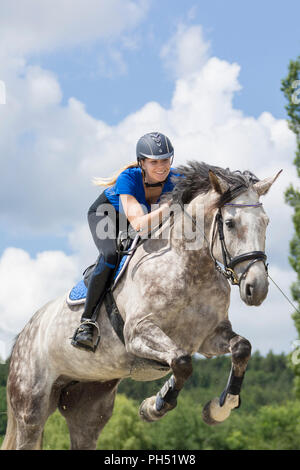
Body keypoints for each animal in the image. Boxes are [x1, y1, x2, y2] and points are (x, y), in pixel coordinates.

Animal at [0, 162, 282, 452]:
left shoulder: (208, 338)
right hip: (31, 405)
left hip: (88, 404)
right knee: (30, 428)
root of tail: (24, 333)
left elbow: (241, 348)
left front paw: (219, 409)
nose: (257, 288)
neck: (191, 269)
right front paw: (154, 406)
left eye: (266, 223)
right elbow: (181, 362)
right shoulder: (138, 334)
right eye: (229, 223)